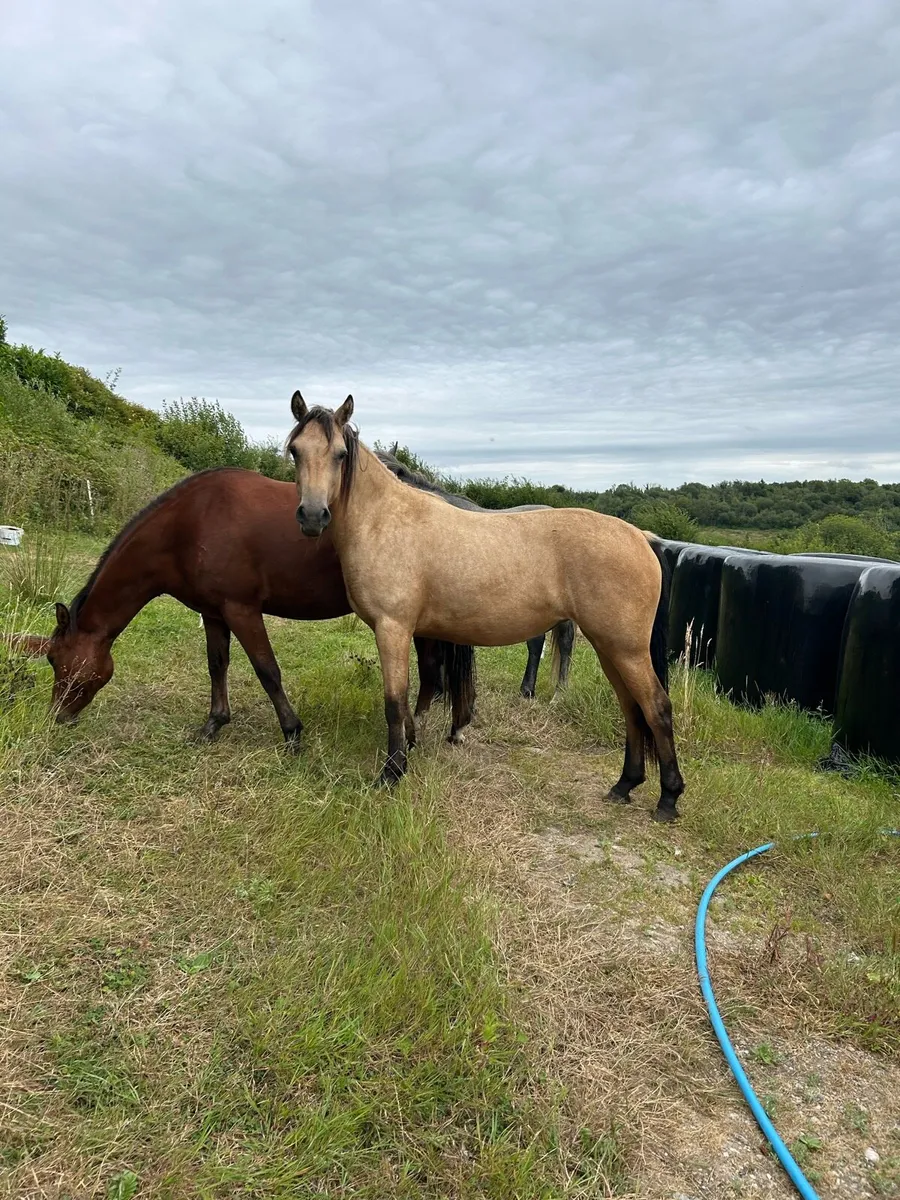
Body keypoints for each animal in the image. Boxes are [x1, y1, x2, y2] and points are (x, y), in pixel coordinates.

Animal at [9, 468, 475, 746]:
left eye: (56, 661)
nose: (57, 717)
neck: (187, 526)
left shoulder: (241, 610)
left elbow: (267, 670)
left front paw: (292, 733)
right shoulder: (213, 612)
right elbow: (218, 664)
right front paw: (214, 723)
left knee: (432, 671)